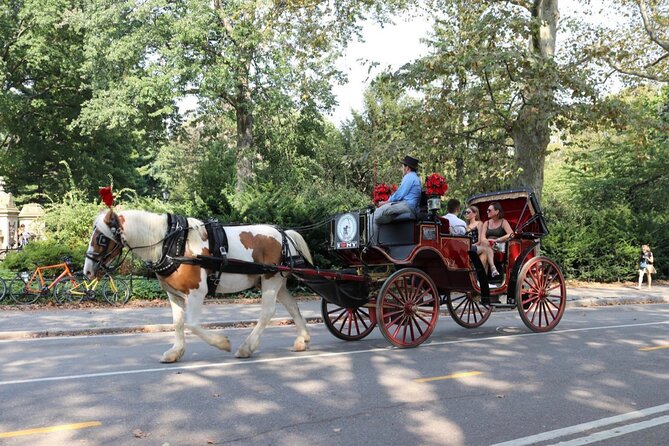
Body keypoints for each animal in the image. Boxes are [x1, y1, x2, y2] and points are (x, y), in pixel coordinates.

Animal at [83, 209, 314, 362]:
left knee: (267, 312)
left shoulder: (196, 292)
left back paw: (247, 347)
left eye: (101, 238)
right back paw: (302, 339)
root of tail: (284, 235)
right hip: (276, 282)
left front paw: (222, 343)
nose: (87, 271)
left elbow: (192, 324)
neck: (171, 244)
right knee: (292, 306)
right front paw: (175, 352)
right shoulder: (174, 295)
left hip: (270, 280)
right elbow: (178, 323)